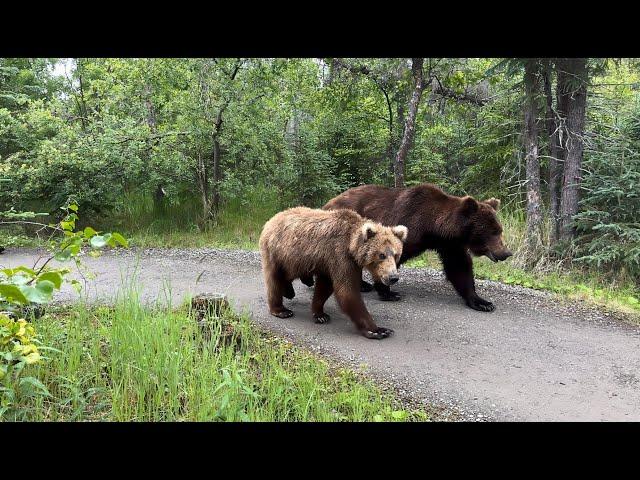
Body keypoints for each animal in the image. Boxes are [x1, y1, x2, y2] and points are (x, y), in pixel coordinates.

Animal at [258, 205, 408, 338]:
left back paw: (288, 291)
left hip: (294, 259)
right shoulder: (339, 256)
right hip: (277, 252)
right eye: (382, 255)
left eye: (396, 254)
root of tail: (271, 220)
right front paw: (378, 330)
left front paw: (320, 315)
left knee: (288, 275)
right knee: (274, 280)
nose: (393, 277)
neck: (351, 245)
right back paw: (281, 310)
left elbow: (324, 287)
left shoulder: (329, 263)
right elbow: (347, 292)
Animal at [322, 183, 512, 312]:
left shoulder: (450, 244)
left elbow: (459, 268)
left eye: (499, 229)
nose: (506, 253)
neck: (433, 228)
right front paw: (389, 293)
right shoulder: (407, 226)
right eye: (493, 232)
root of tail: (328, 203)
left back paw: (362, 285)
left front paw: (482, 302)